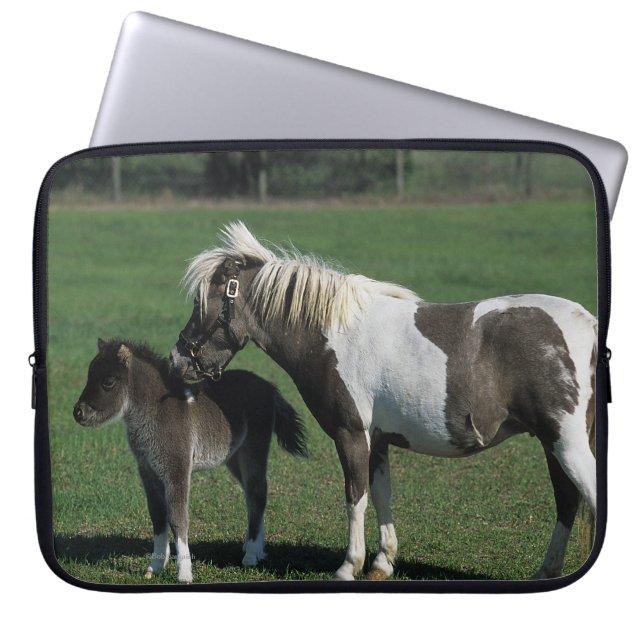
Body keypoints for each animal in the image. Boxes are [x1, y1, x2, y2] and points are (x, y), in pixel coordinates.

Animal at [73, 337, 307, 583]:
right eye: (89, 376)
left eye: (108, 381)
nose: (78, 413)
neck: (157, 411)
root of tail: (269, 387)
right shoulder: (148, 473)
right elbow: (158, 517)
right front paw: (155, 566)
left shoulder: (176, 469)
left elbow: (178, 518)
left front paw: (184, 573)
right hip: (234, 457)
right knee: (252, 497)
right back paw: (256, 550)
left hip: (254, 450)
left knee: (258, 494)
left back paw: (251, 556)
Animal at [169, 222, 597, 581]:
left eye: (203, 302)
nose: (178, 359)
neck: (333, 335)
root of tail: (588, 324)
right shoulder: (378, 441)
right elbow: (381, 496)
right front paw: (381, 563)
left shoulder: (351, 434)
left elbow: (355, 498)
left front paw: (349, 565)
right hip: (551, 444)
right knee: (567, 501)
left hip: (566, 443)